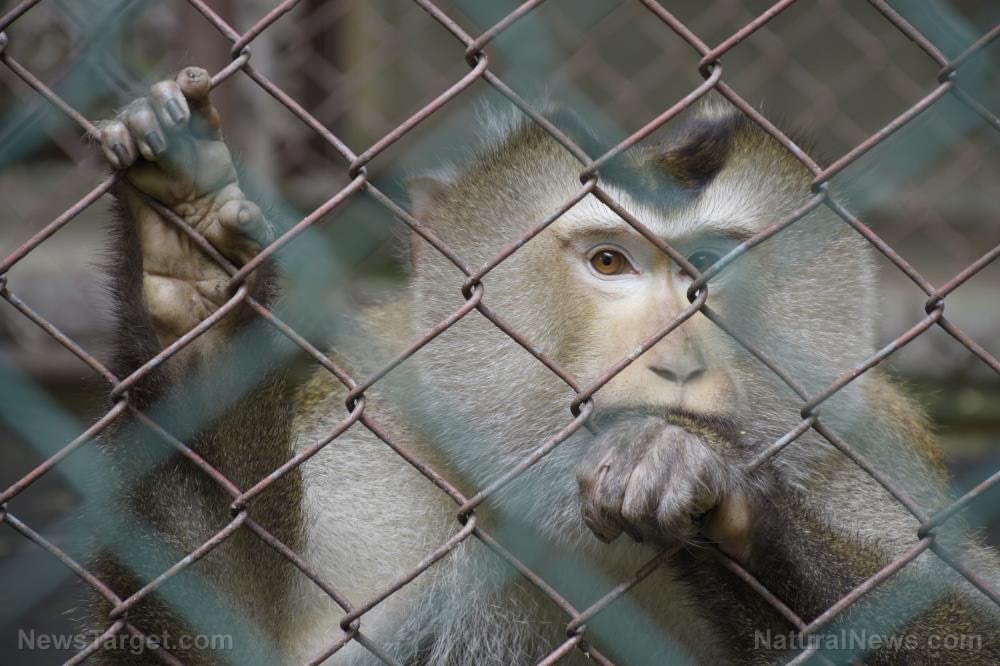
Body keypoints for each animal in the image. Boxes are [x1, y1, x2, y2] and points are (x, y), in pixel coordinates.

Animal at [81, 65, 1000, 665]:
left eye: (709, 267)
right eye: (608, 262)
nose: (675, 361)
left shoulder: (864, 459)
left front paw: (709, 488)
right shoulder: (387, 455)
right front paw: (190, 289)